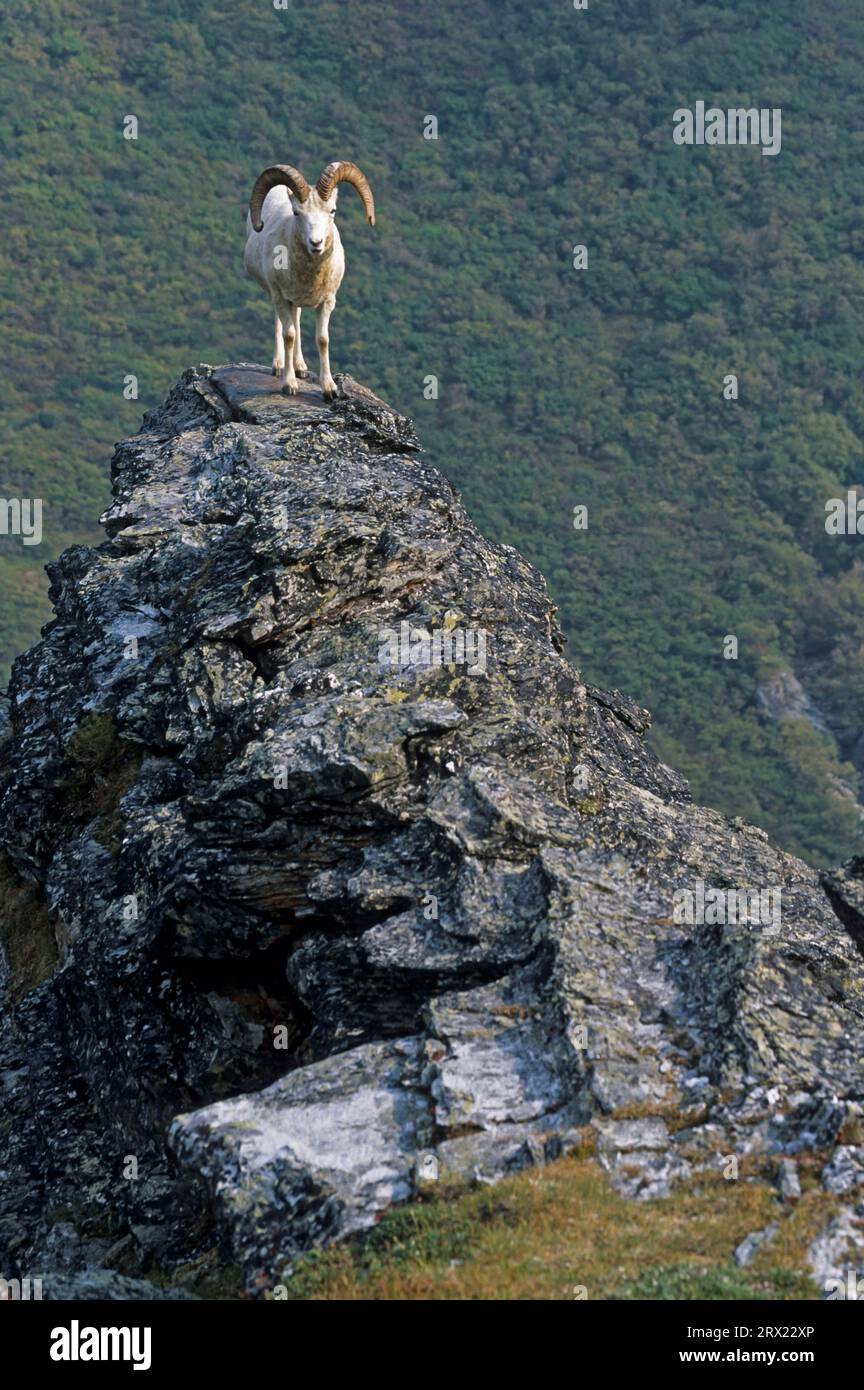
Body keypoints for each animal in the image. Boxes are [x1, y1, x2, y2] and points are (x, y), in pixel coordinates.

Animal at [245, 164, 377, 403]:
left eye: (332, 211)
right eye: (297, 212)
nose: (316, 243)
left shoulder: (327, 301)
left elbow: (322, 339)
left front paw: (329, 389)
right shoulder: (281, 297)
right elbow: (288, 335)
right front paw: (289, 385)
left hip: (296, 301)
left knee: (296, 320)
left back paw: (301, 368)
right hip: (276, 296)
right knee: (282, 325)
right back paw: (279, 366)